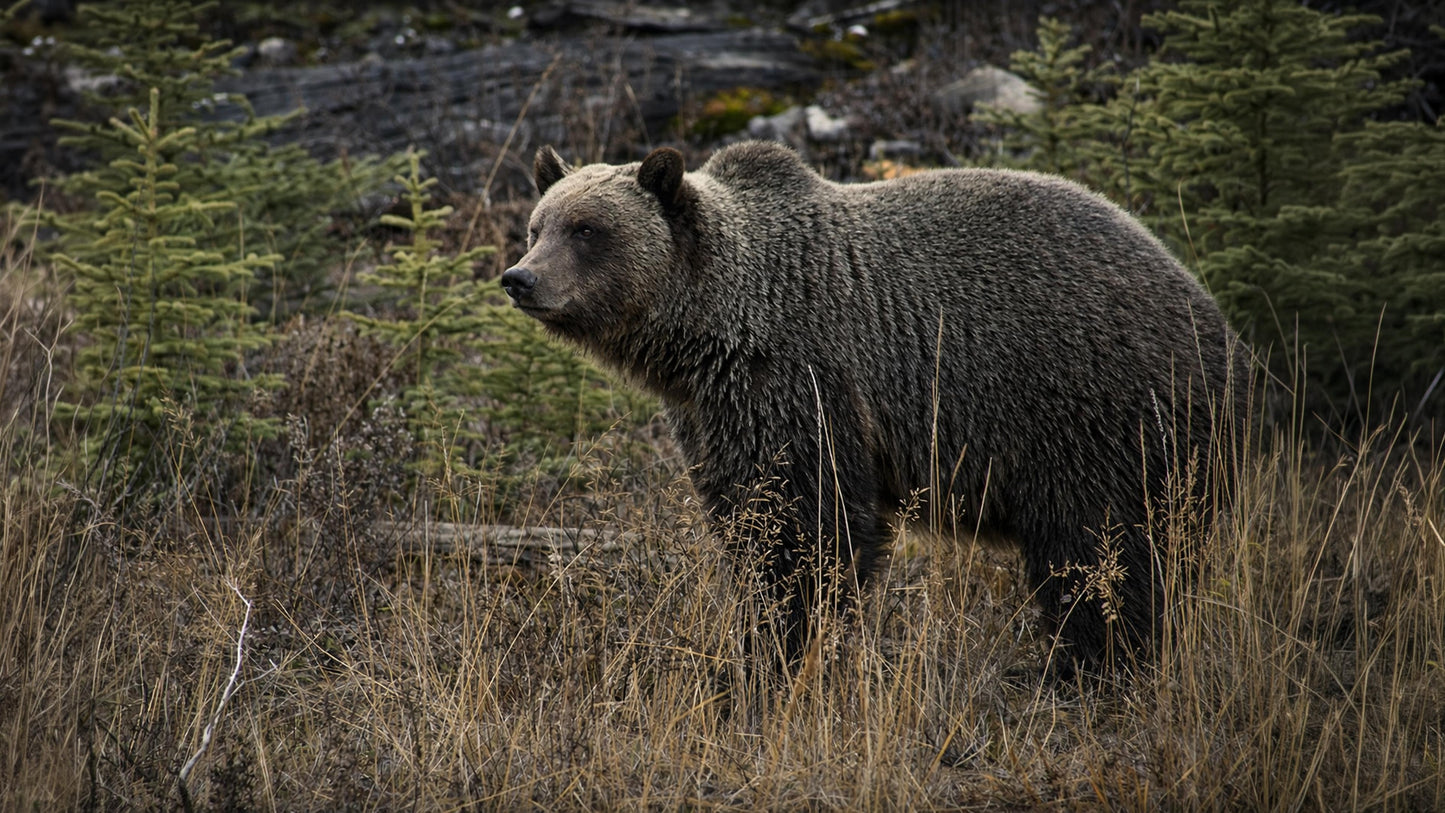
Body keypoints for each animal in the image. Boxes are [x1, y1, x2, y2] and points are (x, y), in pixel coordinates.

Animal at [500, 140, 1246, 673]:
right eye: (537, 225)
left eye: (588, 228)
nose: (519, 278)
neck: (716, 329)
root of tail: (1212, 316)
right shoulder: (716, 414)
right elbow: (748, 516)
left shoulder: (804, 381)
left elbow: (809, 527)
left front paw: (781, 648)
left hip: (1091, 412)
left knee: (1098, 550)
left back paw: (1092, 664)